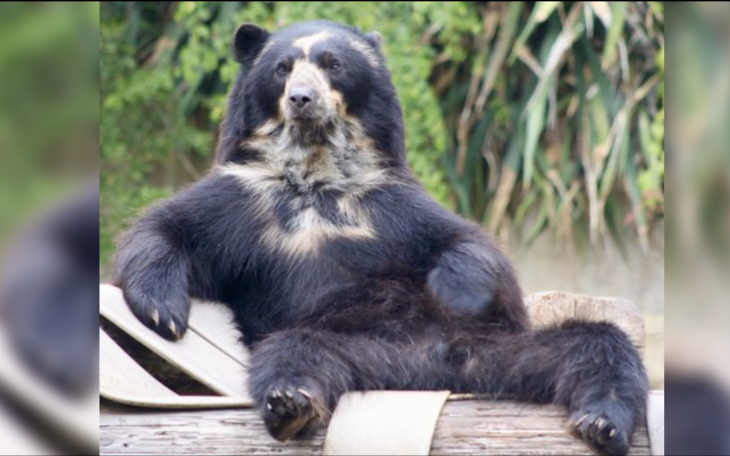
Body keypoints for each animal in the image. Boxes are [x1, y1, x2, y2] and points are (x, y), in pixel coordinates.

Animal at [113, 20, 648, 455]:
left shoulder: (387, 201)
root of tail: (427, 372)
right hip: (341, 343)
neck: (315, 173)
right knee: (291, 355)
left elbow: (464, 243)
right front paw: (163, 313)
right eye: (282, 69)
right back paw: (291, 404)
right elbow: (171, 229)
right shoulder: (246, 197)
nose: (301, 99)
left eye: (333, 65)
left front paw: (458, 288)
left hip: (496, 348)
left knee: (597, 347)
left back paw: (602, 421)